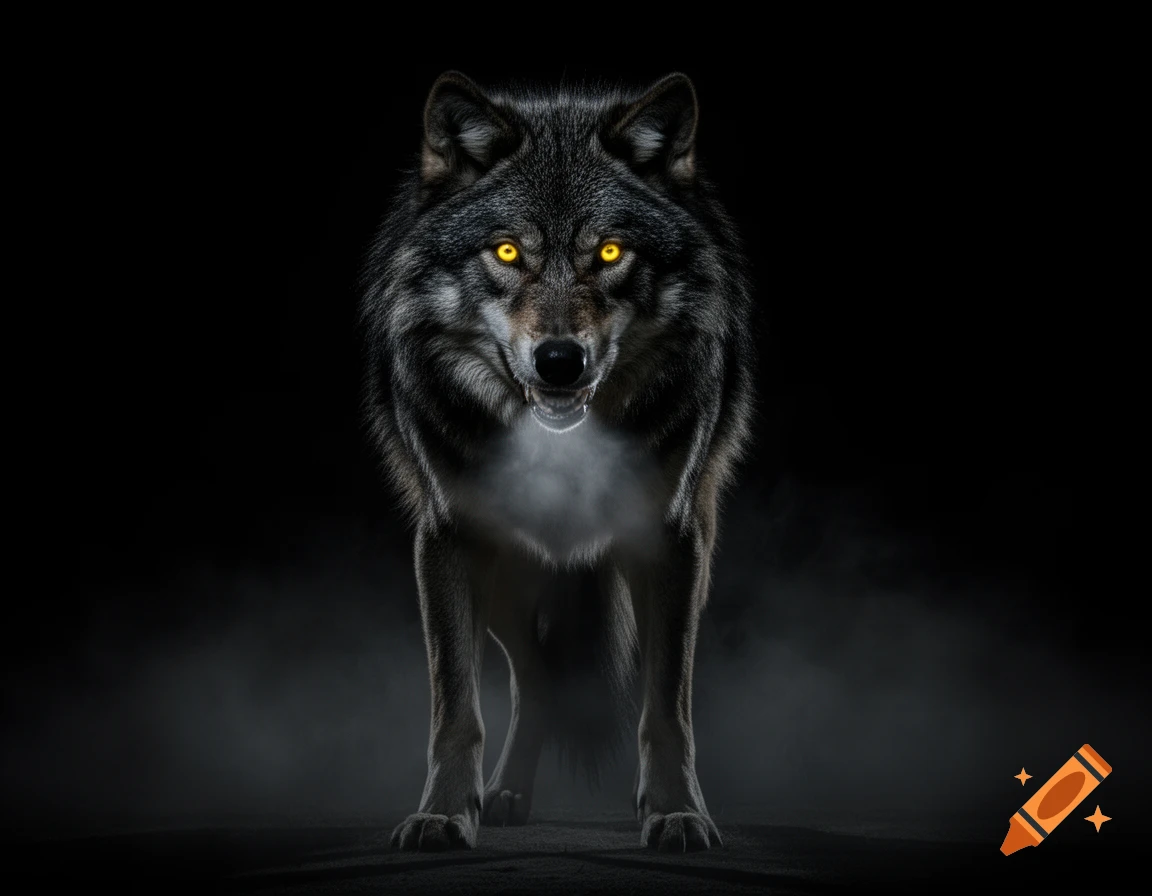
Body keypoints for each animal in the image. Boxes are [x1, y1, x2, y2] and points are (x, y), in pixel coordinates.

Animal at [359, 70, 755, 852]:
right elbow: (455, 709)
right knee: (537, 678)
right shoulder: (448, 540)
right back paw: (505, 794)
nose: (560, 361)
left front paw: (677, 813)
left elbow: (667, 708)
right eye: (509, 253)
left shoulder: (669, 541)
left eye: (610, 253)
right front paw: (443, 813)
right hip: (508, 579)